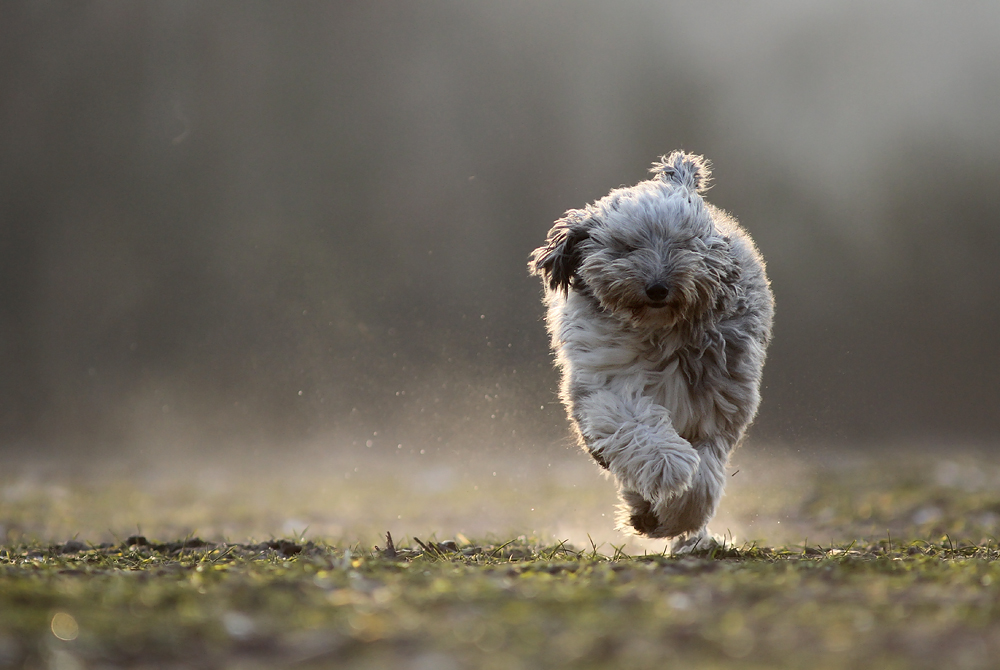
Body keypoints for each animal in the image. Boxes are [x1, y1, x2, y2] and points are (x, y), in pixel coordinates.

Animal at [532, 152, 772, 552]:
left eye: (682, 243)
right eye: (627, 247)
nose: (658, 287)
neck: (660, 332)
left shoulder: (715, 404)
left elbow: (704, 475)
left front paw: (677, 516)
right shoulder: (607, 381)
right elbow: (634, 425)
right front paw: (666, 465)